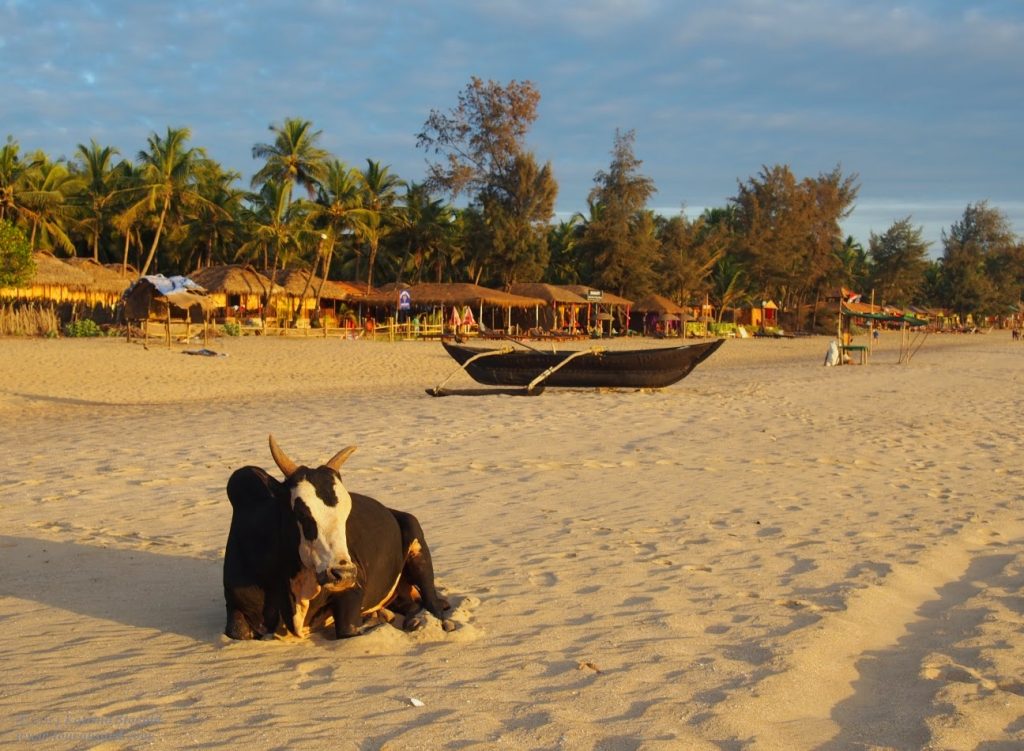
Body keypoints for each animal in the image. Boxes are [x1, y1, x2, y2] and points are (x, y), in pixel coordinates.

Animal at [224, 434, 448, 639]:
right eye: (301, 513)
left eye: (347, 512)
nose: (344, 573)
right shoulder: (234, 605)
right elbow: (237, 632)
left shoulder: (354, 589)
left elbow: (346, 627)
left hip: (417, 542)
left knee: (432, 603)